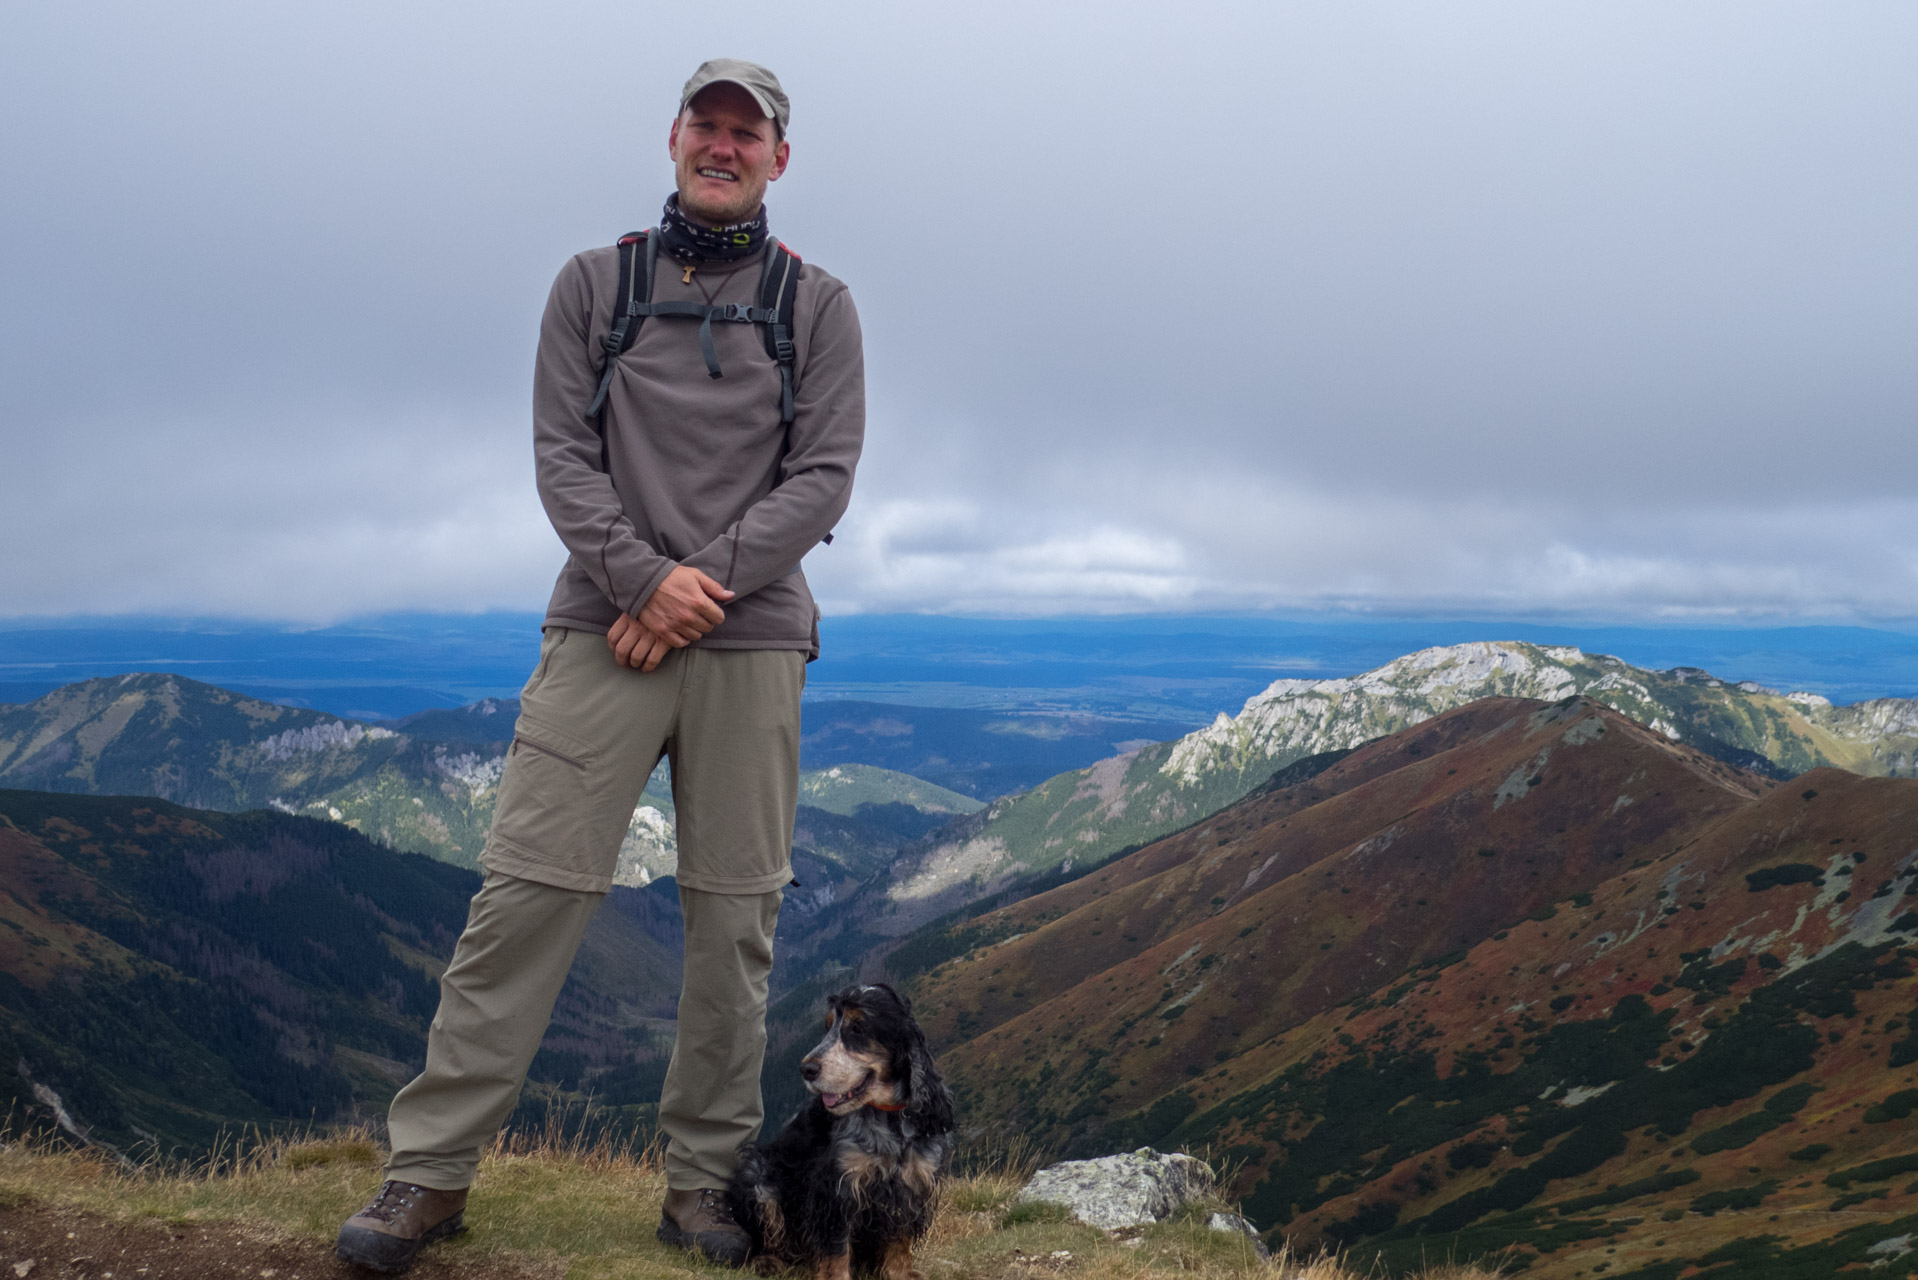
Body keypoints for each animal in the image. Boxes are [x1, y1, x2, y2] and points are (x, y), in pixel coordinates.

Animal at [725, 990, 951, 1274]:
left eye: (857, 1028)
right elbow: (837, 1245)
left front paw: (900, 1273)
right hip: (757, 1176)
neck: (887, 1115)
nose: (806, 1069)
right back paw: (767, 1261)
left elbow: (900, 1238)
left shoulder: (911, 1183)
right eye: (827, 1027)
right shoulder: (837, 1185)